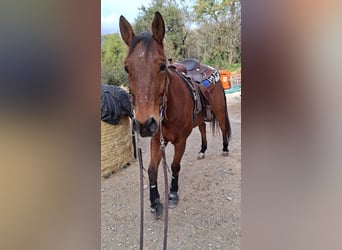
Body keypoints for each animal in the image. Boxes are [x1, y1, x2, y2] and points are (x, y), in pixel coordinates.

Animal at [119, 12, 231, 219]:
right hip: (199, 118)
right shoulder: (156, 140)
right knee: (203, 129)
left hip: (219, 110)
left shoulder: (180, 141)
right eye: (126, 68)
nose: (145, 124)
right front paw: (155, 201)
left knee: (223, 126)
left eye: (163, 66)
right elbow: (152, 170)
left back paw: (225, 148)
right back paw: (202, 150)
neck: (168, 111)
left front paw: (172, 194)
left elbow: (174, 166)